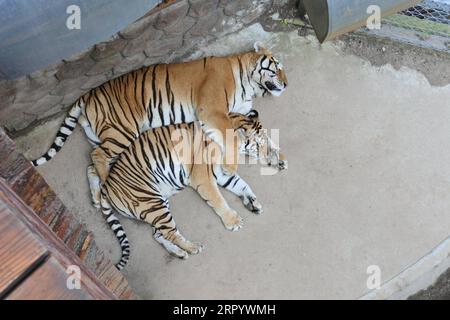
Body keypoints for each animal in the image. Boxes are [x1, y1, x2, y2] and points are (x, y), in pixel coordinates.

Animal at [30, 45, 288, 185]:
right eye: (277, 67)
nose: (286, 84)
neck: (249, 83)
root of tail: (88, 94)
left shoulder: (241, 112)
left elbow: (262, 135)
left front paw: (278, 157)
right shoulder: (212, 110)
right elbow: (232, 138)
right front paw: (230, 168)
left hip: (106, 136)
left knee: (93, 161)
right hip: (122, 131)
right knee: (97, 155)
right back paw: (106, 187)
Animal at [87, 110, 284, 270]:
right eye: (258, 144)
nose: (269, 156)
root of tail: (107, 187)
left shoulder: (221, 174)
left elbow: (242, 185)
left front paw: (253, 203)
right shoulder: (203, 178)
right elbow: (219, 200)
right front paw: (233, 222)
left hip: (156, 203)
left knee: (158, 234)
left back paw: (179, 253)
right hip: (151, 203)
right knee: (170, 233)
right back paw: (193, 247)